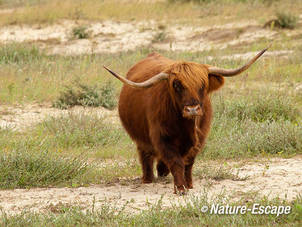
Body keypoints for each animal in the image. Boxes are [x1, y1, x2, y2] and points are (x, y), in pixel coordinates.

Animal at [103, 48, 266, 193]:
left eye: (203, 84)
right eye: (177, 85)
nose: (192, 109)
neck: (187, 126)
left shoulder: (200, 138)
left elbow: (188, 163)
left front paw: (189, 185)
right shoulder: (163, 138)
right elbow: (176, 162)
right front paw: (180, 188)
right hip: (140, 138)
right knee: (146, 156)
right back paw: (148, 179)